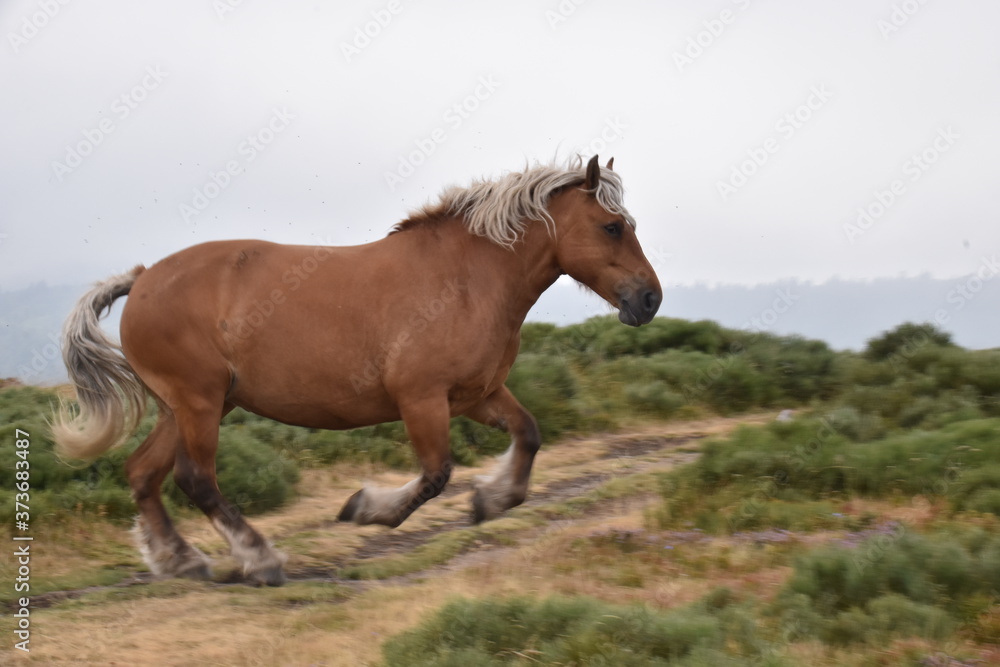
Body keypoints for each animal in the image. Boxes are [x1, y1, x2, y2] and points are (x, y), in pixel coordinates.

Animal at [52, 155, 662, 586]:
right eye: (612, 227)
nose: (649, 299)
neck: (468, 279)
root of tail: (144, 278)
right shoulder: (422, 399)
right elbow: (435, 474)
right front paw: (368, 509)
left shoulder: (477, 395)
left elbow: (529, 435)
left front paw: (491, 499)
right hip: (199, 403)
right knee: (196, 479)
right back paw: (259, 559)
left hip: (190, 406)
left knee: (142, 474)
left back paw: (179, 561)